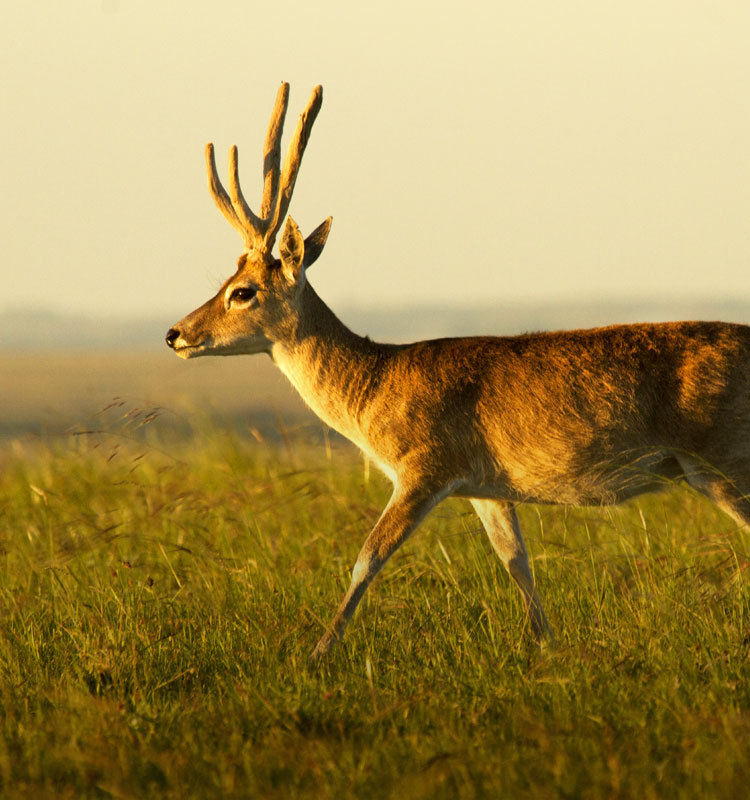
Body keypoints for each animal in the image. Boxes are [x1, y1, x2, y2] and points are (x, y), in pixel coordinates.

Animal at [167, 83, 750, 664]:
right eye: (226, 280)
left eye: (243, 291)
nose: (175, 334)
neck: (374, 385)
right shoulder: (487, 487)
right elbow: (517, 561)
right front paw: (547, 647)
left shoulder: (424, 467)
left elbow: (367, 557)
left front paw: (316, 654)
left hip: (725, 461)